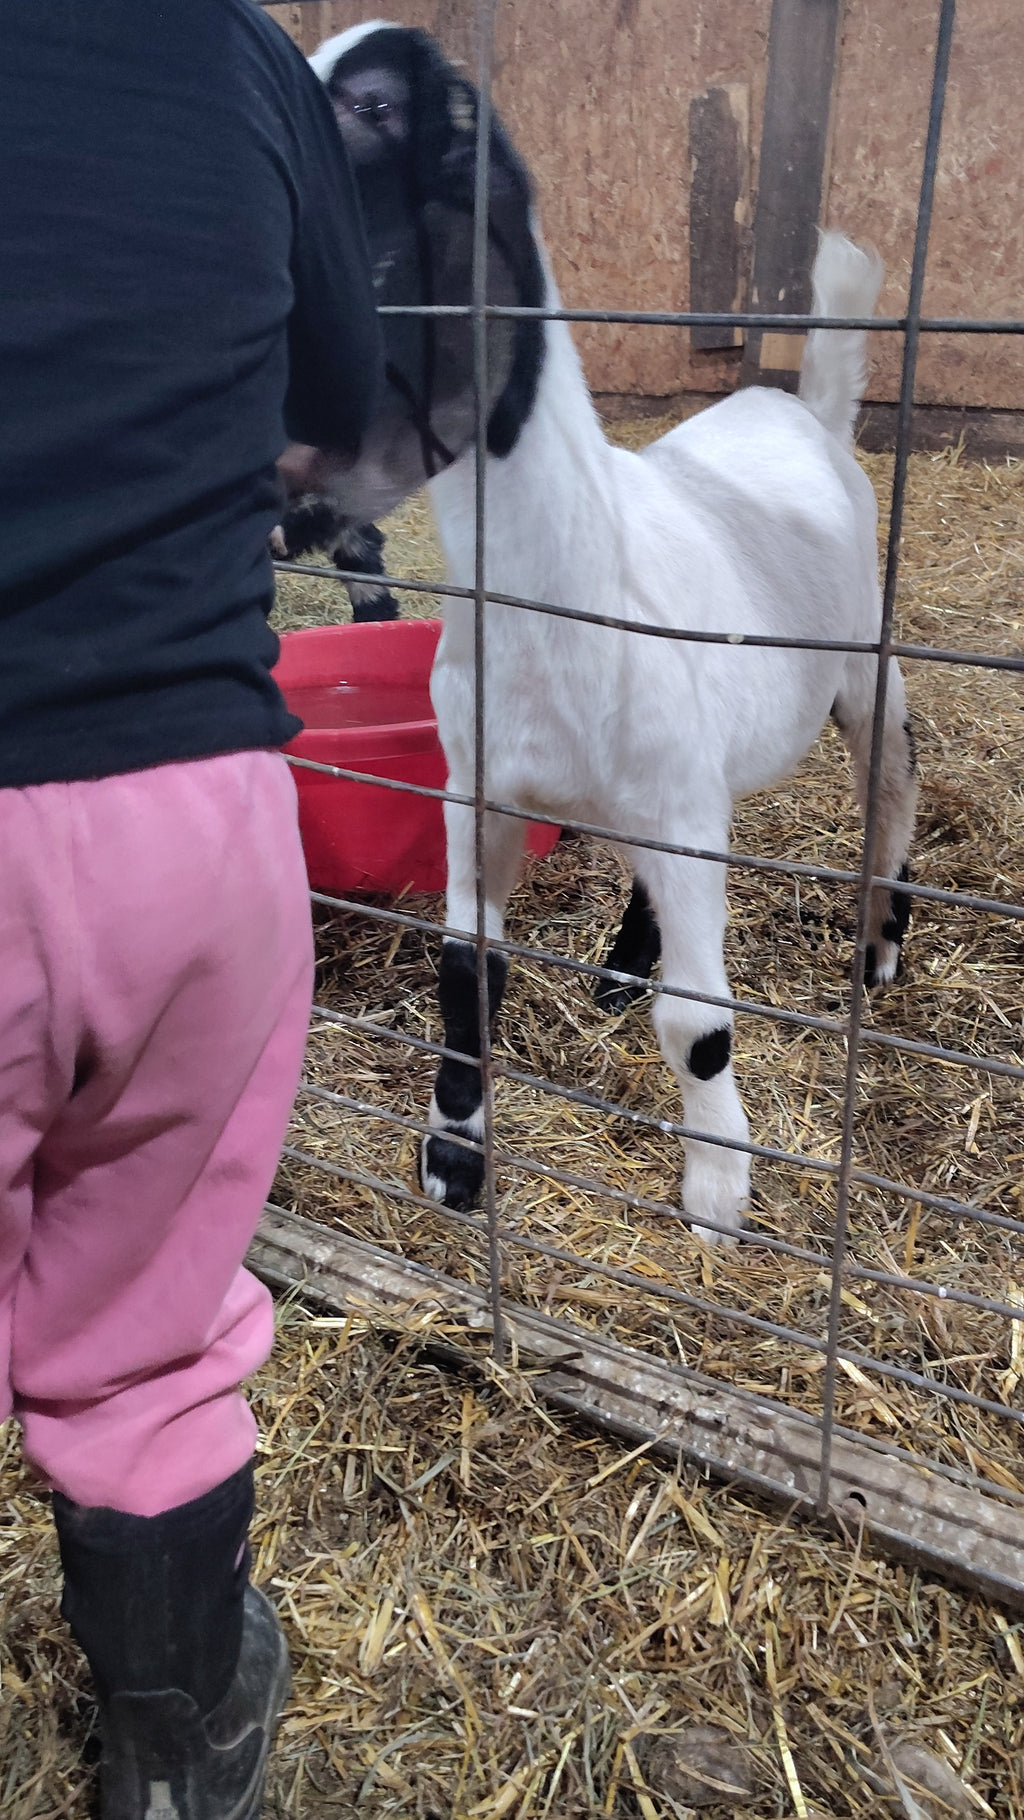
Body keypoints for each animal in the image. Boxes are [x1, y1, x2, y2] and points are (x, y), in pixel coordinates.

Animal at [295, 22, 919, 1242]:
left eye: (377, 104)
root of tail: (805, 411)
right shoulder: (481, 795)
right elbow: (465, 974)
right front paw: (452, 1164)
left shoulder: (676, 808)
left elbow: (699, 1021)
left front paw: (717, 1197)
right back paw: (627, 961)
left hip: (861, 675)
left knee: (891, 785)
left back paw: (875, 944)